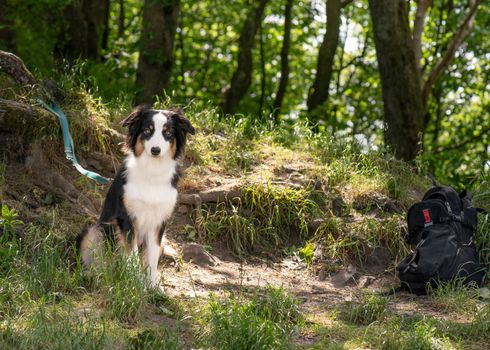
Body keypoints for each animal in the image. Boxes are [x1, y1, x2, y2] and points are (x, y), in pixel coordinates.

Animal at [77, 106, 194, 288]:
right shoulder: (127, 218)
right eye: (147, 130)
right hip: (94, 231)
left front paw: (152, 287)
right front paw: (134, 282)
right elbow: (131, 255)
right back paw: (95, 276)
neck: (152, 172)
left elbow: (151, 258)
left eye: (168, 133)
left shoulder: (158, 223)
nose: (155, 150)